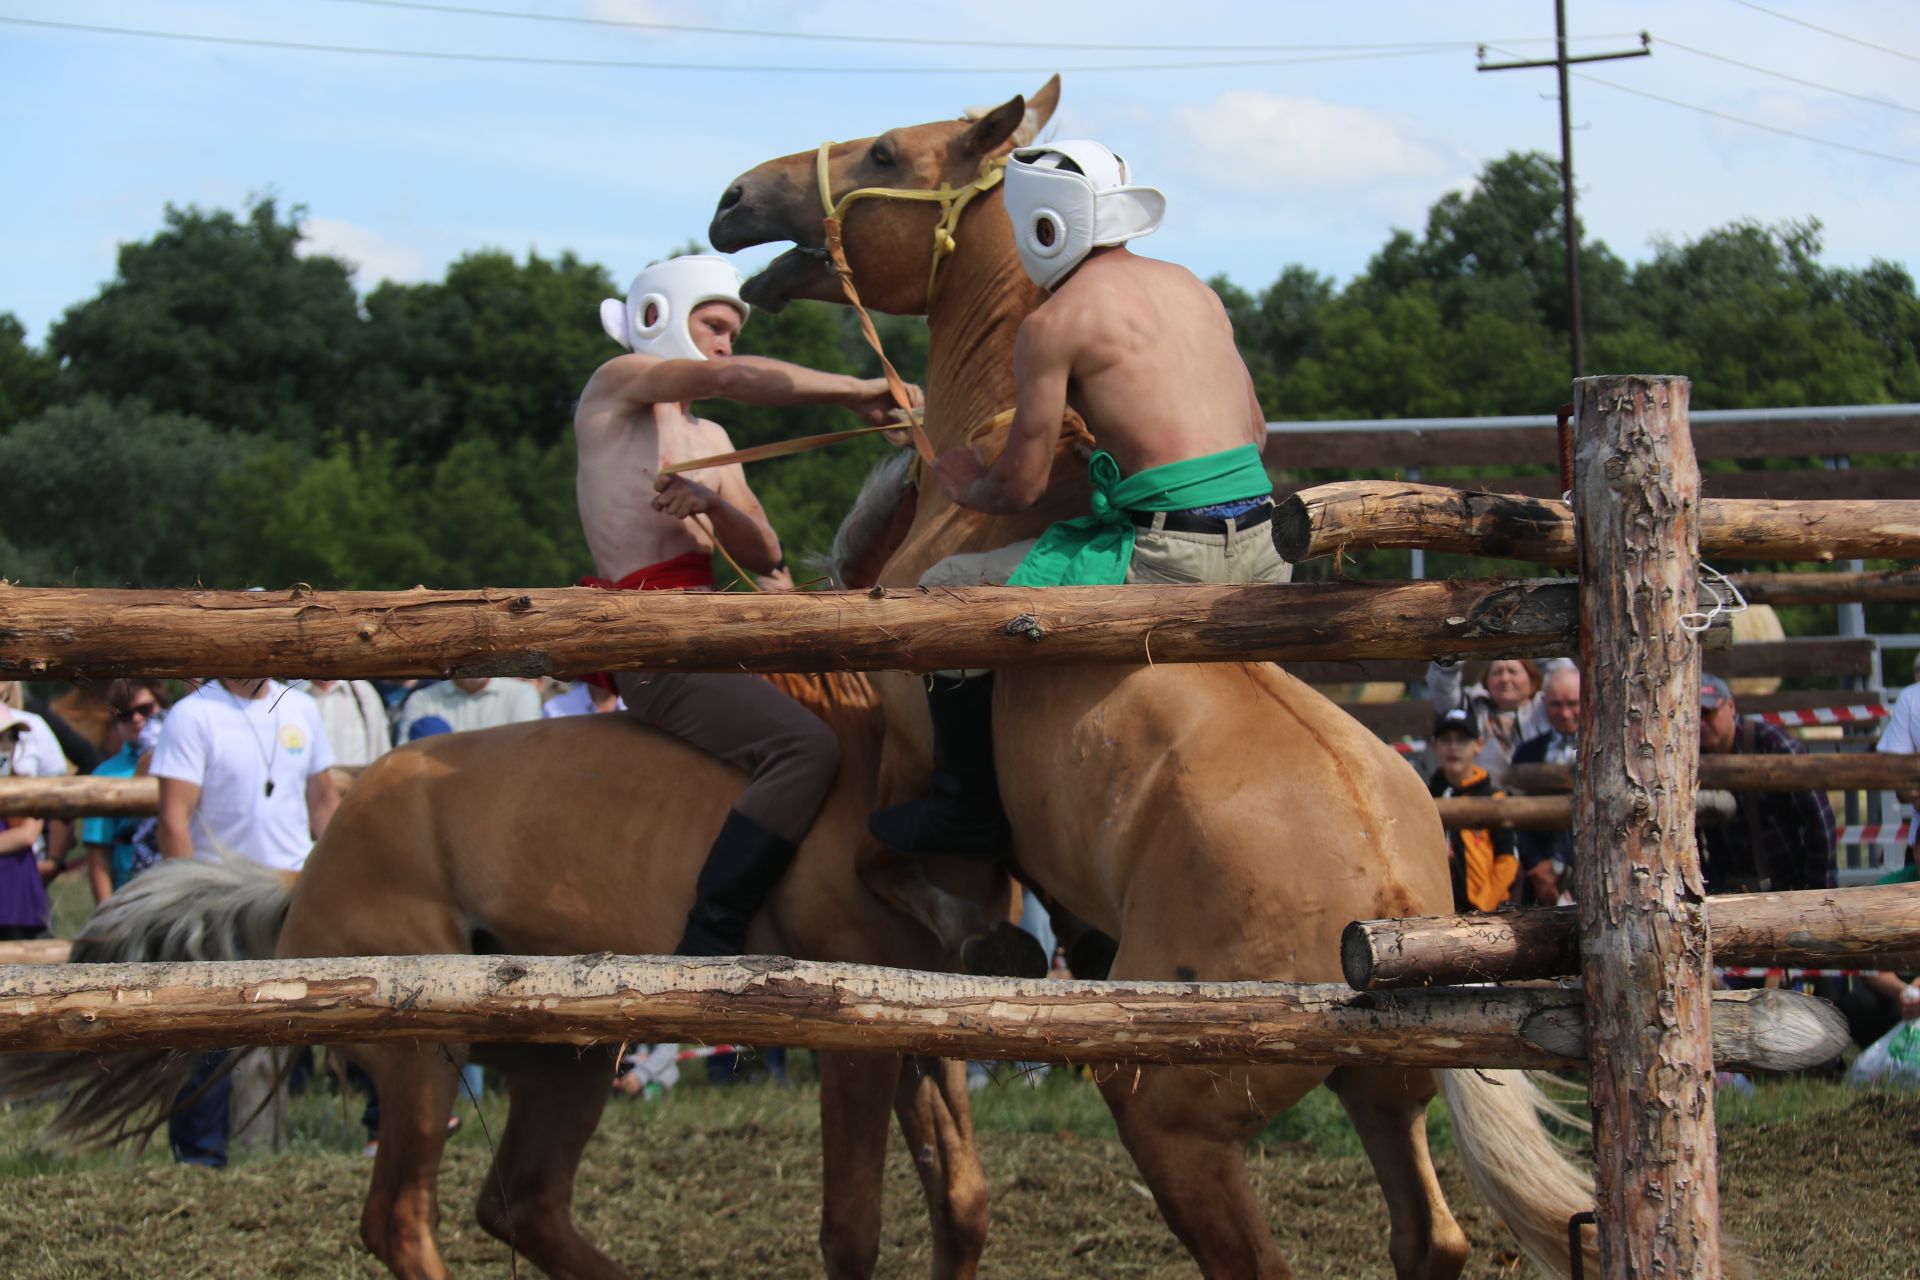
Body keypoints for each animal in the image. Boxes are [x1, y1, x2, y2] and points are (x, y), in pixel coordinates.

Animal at [714, 82, 1597, 1280]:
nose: (734, 199)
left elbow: (901, 857)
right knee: (1433, 1236)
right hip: (1382, 1088)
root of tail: (1392, 894)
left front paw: (983, 933)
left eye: (888, 151)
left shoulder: (911, 743)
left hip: (1173, 1115)